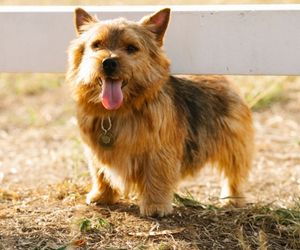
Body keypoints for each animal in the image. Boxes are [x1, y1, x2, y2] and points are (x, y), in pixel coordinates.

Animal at [67, 6, 254, 216]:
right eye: (96, 45)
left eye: (131, 48)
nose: (108, 62)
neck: (119, 111)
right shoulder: (95, 151)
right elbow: (100, 173)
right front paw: (102, 196)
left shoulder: (159, 150)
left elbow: (156, 175)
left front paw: (155, 206)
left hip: (233, 143)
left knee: (234, 172)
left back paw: (232, 199)